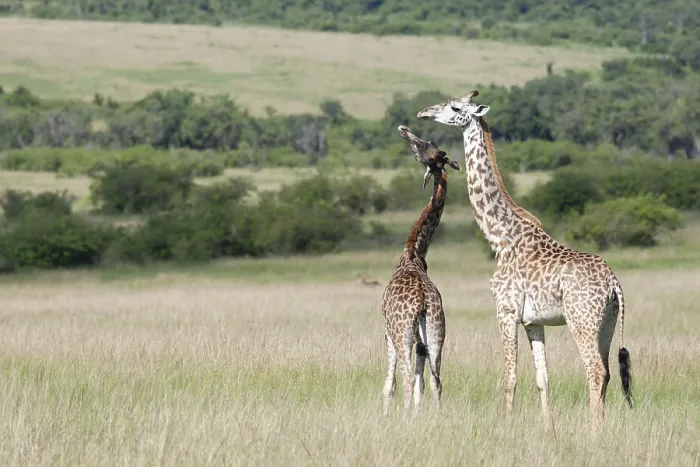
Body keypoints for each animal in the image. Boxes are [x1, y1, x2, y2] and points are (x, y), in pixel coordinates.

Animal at [381, 125, 461, 416]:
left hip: (402, 332)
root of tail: (424, 303)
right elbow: (422, 385)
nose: (404, 129)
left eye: (423, 145)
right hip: (437, 333)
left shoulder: (387, 331)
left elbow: (390, 384)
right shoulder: (422, 343)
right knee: (436, 381)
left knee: (404, 380)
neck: (414, 252)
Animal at [416, 90, 633, 432]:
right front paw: (549, 429)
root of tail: (613, 282)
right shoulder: (533, 321)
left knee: (596, 370)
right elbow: (543, 378)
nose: (423, 112)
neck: (501, 238)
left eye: (454, 107)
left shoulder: (505, 311)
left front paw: (505, 427)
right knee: (608, 372)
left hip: (582, 320)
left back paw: (593, 432)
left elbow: (511, 377)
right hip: (608, 323)